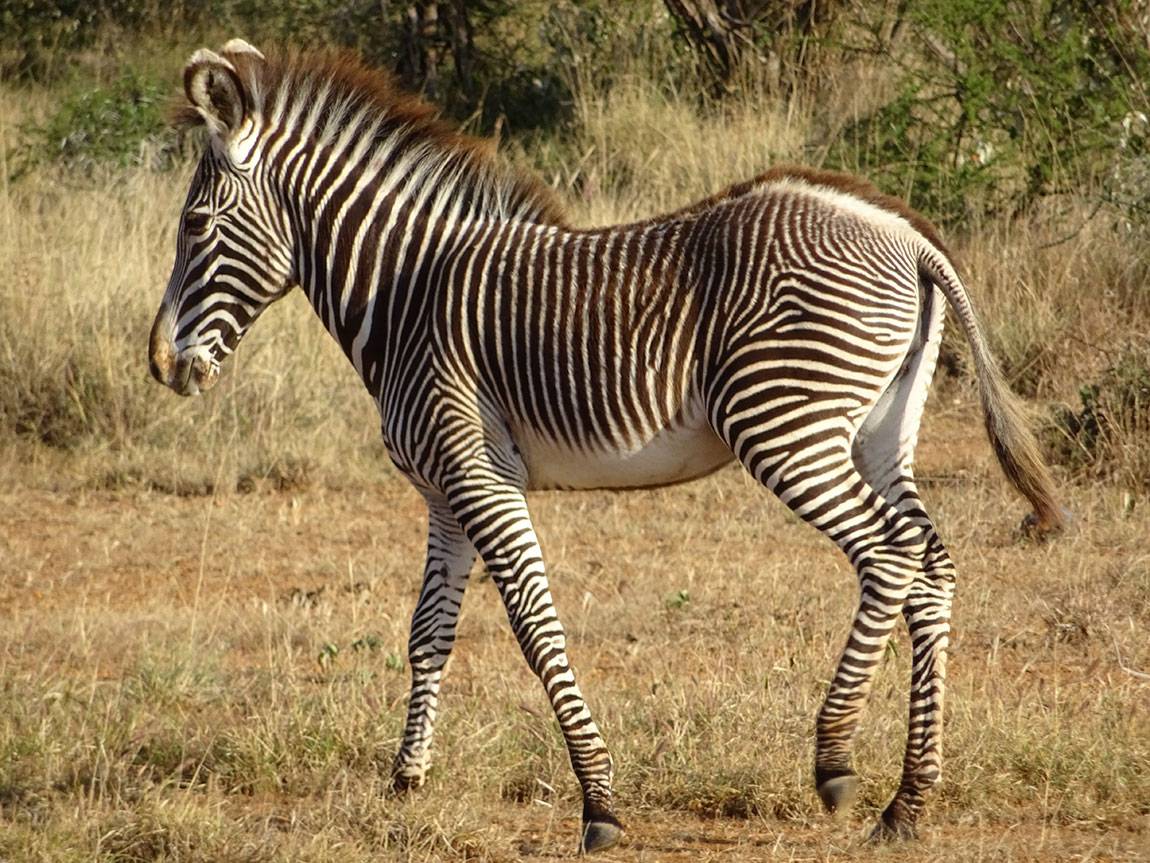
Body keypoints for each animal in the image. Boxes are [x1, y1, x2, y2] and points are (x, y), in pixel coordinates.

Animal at [148, 40, 1063, 852]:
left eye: (195, 223)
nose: (160, 365)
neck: (406, 297)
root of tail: (907, 236)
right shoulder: (443, 490)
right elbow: (427, 628)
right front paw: (406, 780)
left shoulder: (478, 472)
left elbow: (534, 626)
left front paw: (599, 801)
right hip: (878, 430)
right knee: (933, 563)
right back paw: (909, 800)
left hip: (785, 422)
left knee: (890, 553)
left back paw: (835, 758)